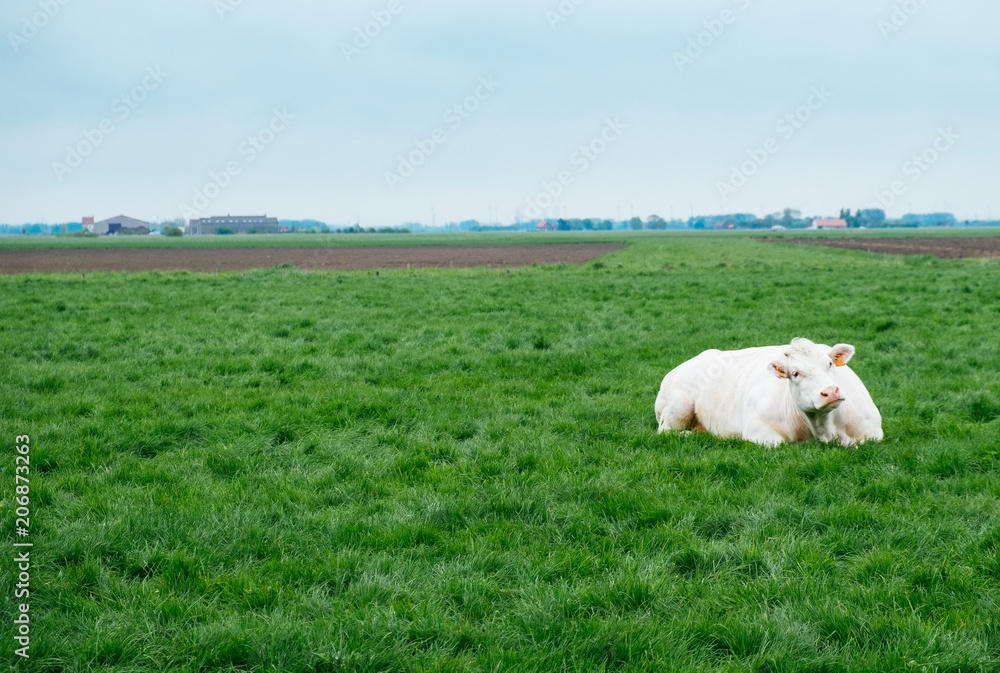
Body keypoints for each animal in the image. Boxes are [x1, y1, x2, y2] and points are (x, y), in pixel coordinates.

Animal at [654, 338, 883, 446]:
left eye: (830, 364)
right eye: (795, 373)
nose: (830, 392)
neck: (825, 428)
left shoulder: (874, 432)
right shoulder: (759, 430)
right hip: (678, 408)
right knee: (666, 432)